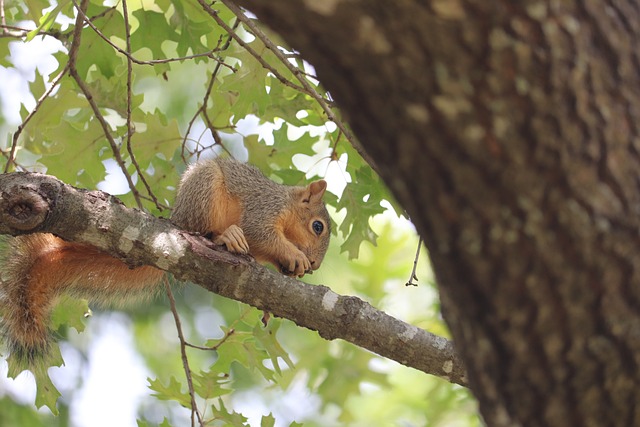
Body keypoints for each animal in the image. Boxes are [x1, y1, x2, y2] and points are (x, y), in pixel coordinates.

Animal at [0, 157, 330, 368]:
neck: (287, 204)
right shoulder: (264, 209)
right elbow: (260, 233)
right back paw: (227, 236)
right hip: (204, 194)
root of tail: (177, 219)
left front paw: (288, 273)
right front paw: (295, 255)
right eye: (318, 226)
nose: (315, 265)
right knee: (205, 230)